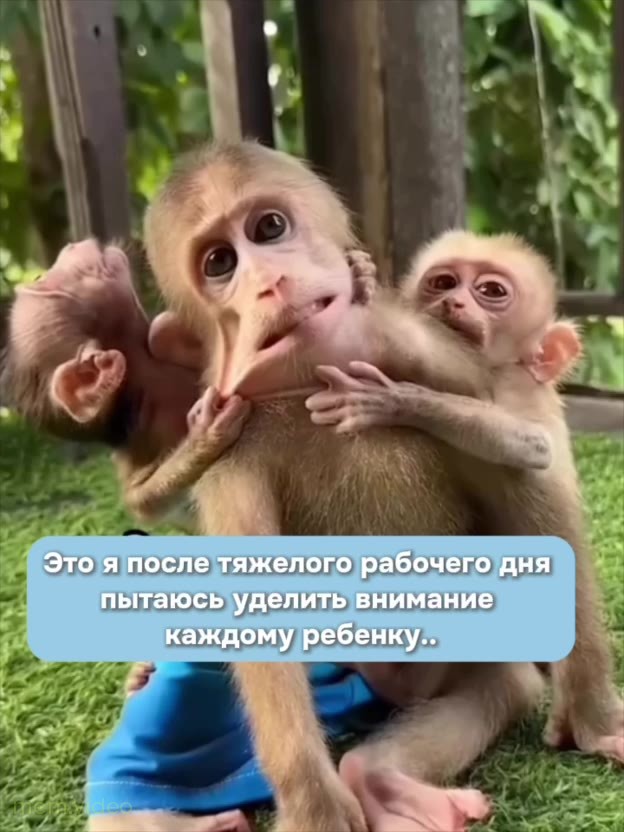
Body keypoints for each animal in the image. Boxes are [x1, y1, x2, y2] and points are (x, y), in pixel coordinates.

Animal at [92, 139, 544, 832]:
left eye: (269, 228)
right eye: (220, 264)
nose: (268, 281)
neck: (308, 391)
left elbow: (517, 436)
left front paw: (364, 293)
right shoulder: (233, 456)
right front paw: (314, 801)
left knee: (509, 682)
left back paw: (388, 782)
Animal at [305, 229, 624, 766]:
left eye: (491, 291)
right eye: (443, 281)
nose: (453, 301)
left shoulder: (513, 389)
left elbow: (531, 447)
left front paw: (396, 400)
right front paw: (363, 279)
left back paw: (592, 726)